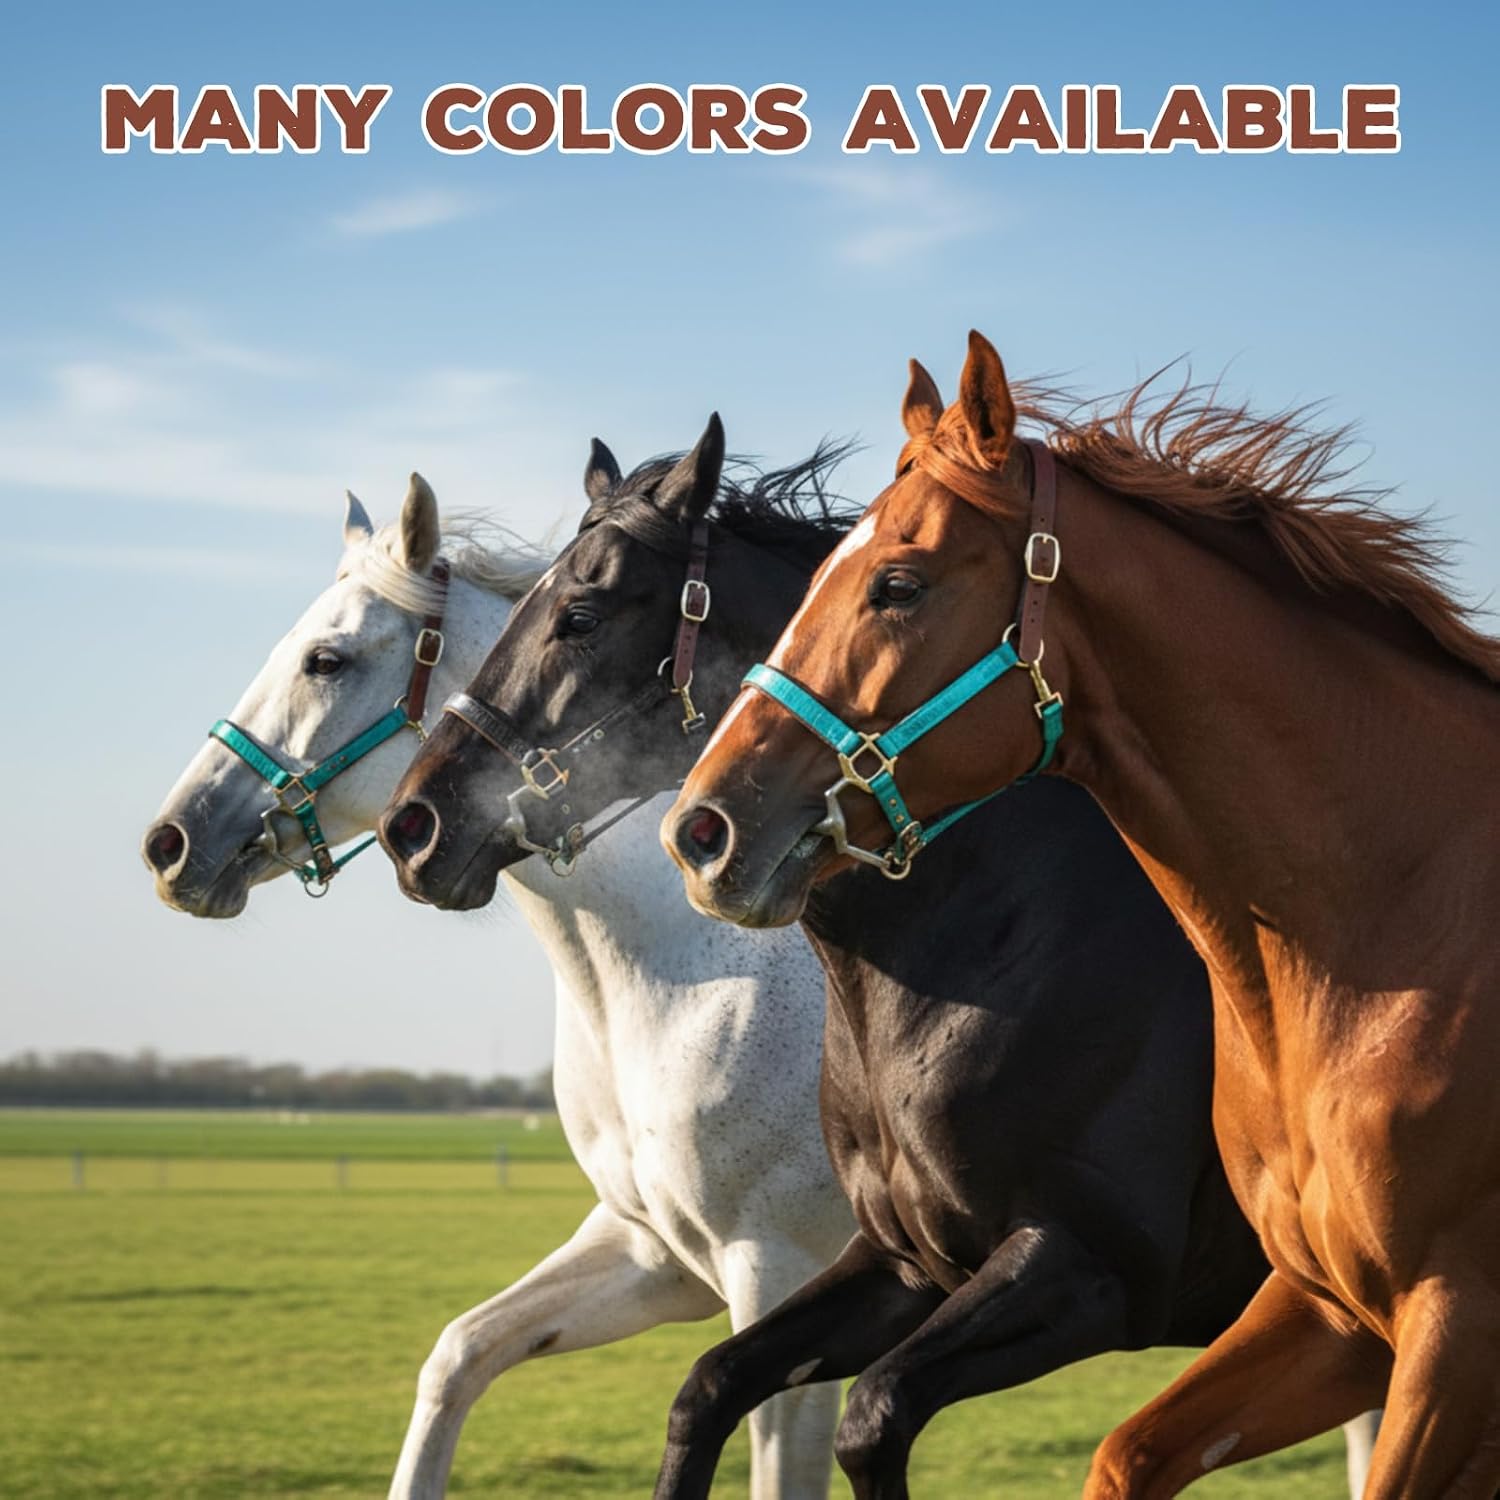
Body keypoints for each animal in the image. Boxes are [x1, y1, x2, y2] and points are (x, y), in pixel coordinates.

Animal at [142, 469, 854, 1499]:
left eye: (326, 660)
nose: (171, 842)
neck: (694, 979)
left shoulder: (779, 1276)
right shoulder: (657, 1254)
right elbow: (458, 1354)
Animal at [378, 418, 1376, 1497]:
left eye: (580, 613)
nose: (416, 821)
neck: (1009, 942)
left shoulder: (1086, 1270)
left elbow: (872, 1414)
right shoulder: (896, 1267)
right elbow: (708, 1389)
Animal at [665, 331, 1496, 1496]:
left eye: (898, 584)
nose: (705, 828)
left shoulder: (1438, 1329)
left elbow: (873, 1411)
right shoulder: (1325, 1312)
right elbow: (1116, 1455)